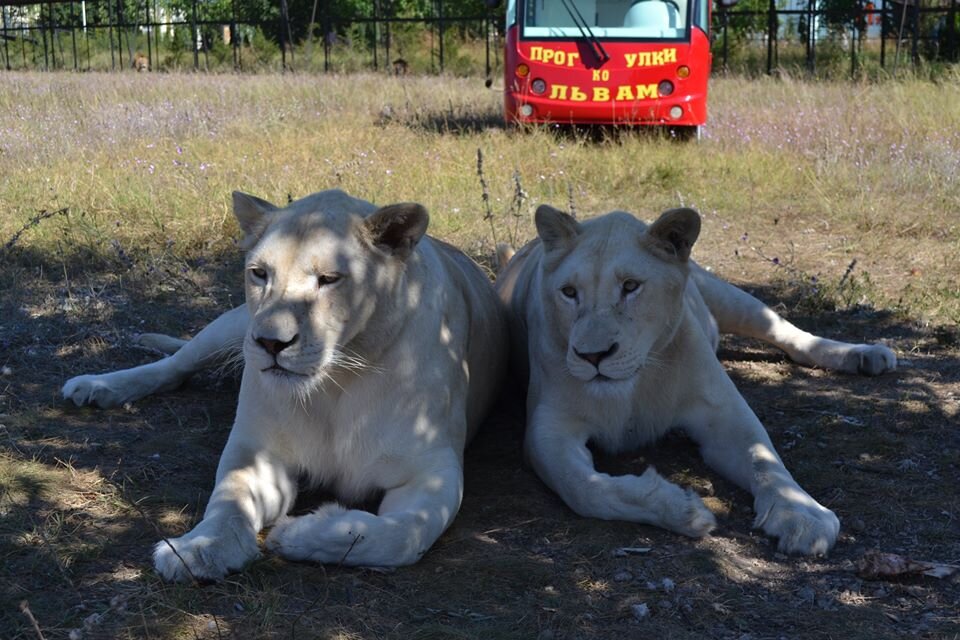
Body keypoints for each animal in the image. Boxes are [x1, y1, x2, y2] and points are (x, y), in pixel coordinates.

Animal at [62, 189, 510, 580]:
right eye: (260, 273)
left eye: (329, 279)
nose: (271, 343)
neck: (337, 381)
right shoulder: (260, 449)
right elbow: (228, 501)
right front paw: (200, 548)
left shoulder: (431, 471)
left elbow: (401, 537)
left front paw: (302, 533)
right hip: (232, 326)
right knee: (174, 366)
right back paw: (96, 387)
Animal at [498, 204, 896, 556]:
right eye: (569, 292)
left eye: (630, 286)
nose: (592, 356)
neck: (634, 383)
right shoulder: (549, 430)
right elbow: (583, 487)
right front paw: (683, 509)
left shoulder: (723, 413)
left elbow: (766, 460)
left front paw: (802, 515)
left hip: (734, 298)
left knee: (789, 334)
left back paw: (866, 355)